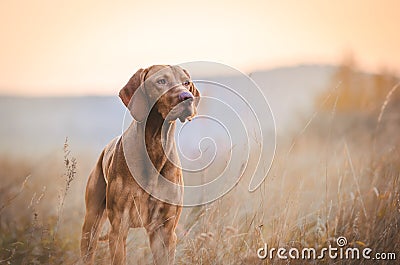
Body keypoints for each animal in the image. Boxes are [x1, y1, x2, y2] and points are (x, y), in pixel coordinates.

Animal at [81, 64, 200, 264]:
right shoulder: (119, 228)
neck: (155, 145)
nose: (187, 97)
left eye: (186, 83)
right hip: (91, 223)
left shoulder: (166, 232)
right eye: (161, 81)